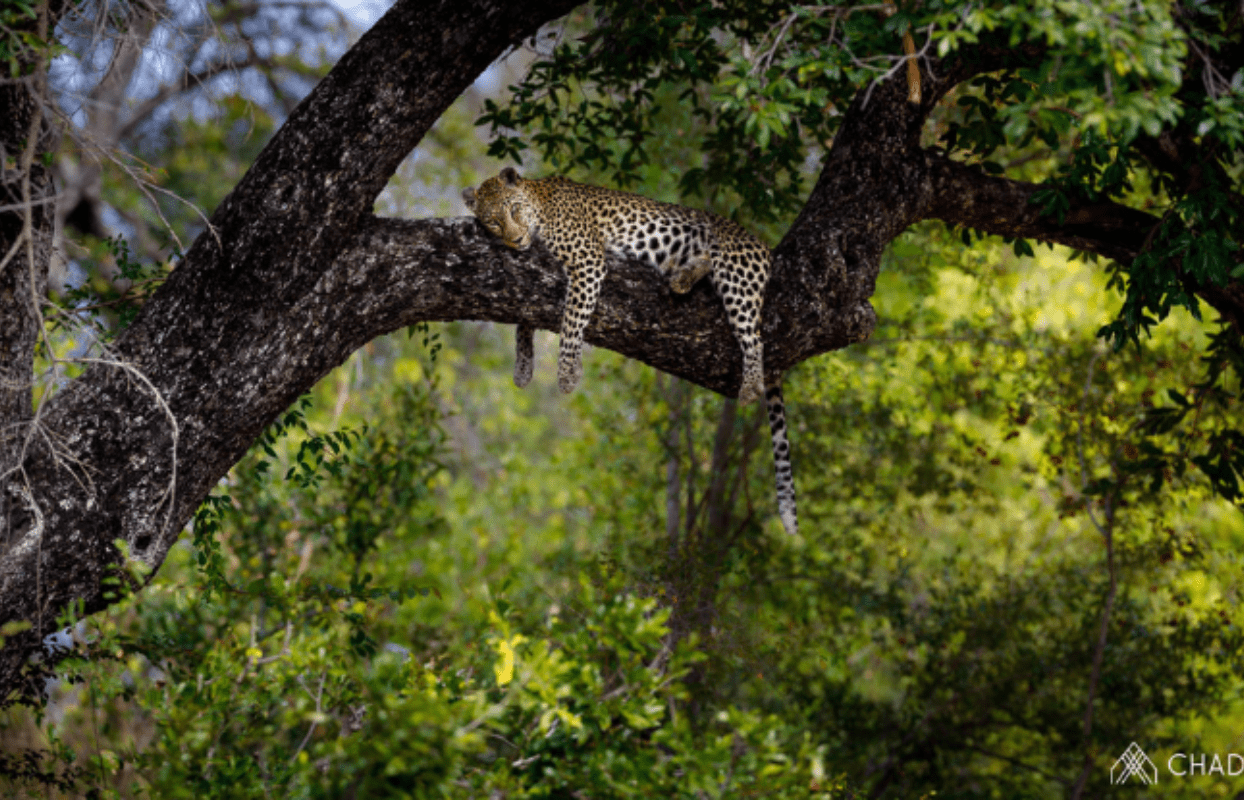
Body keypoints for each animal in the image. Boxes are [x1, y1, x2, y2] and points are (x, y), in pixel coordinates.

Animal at [462, 167, 797, 535]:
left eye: (514, 209)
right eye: (493, 222)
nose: (517, 238)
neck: (539, 204)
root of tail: (764, 247)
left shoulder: (587, 261)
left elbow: (571, 319)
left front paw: (567, 374)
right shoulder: (535, 284)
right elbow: (525, 320)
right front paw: (523, 367)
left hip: (737, 274)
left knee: (755, 337)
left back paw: (750, 386)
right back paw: (684, 276)